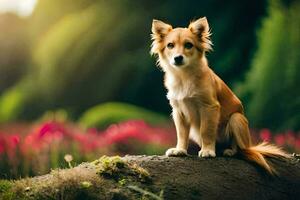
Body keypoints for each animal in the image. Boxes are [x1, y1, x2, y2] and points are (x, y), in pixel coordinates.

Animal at [151, 17, 290, 173]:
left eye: (188, 45)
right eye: (170, 45)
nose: (178, 58)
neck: (184, 76)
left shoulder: (209, 107)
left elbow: (206, 130)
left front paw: (208, 151)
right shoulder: (179, 112)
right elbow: (181, 133)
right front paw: (180, 150)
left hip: (236, 119)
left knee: (241, 149)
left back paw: (229, 151)